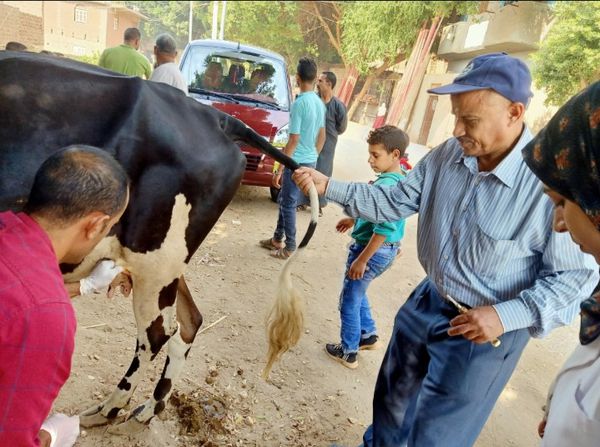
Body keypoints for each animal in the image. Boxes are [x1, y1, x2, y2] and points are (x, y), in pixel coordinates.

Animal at [0, 51, 318, 434]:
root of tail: (214, 117)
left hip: (155, 264)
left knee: (156, 334)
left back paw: (110, 409)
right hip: (166, 264)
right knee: (190, 322)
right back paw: (150, 407)